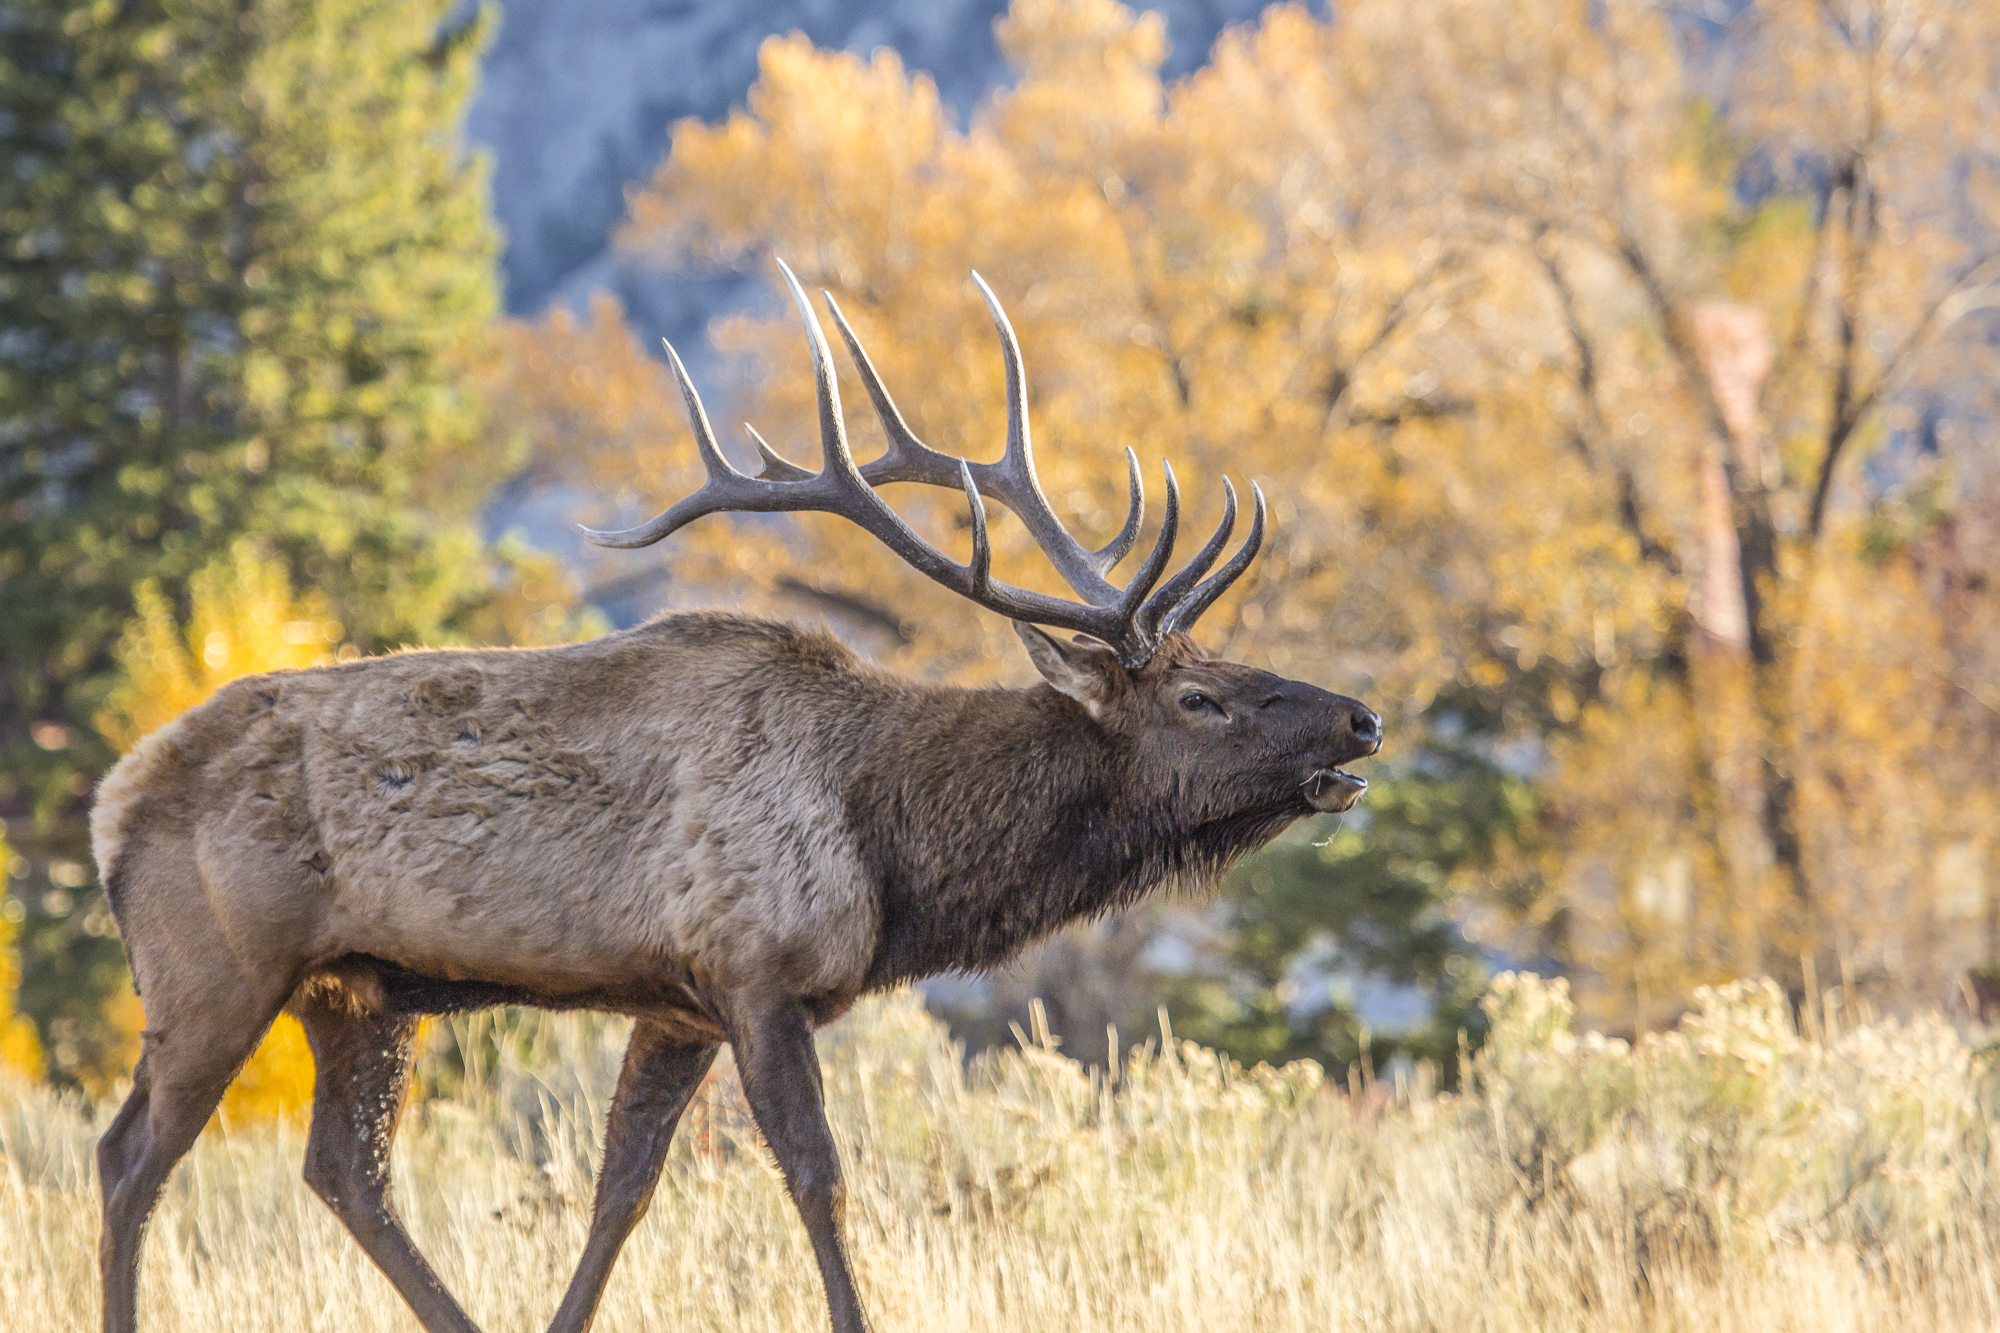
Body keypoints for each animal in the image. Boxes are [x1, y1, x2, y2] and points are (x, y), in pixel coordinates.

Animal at [90, 260, 1376, 1328]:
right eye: (1199, 699)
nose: (1360, 716)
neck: (893, 846)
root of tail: (109, 801)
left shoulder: (678, 1002)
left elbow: (621, 1189)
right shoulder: (756, 970)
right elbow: (818, 1179)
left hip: (356, 988)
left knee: (344, 1171)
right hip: (214, 969)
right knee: (129, 1158)